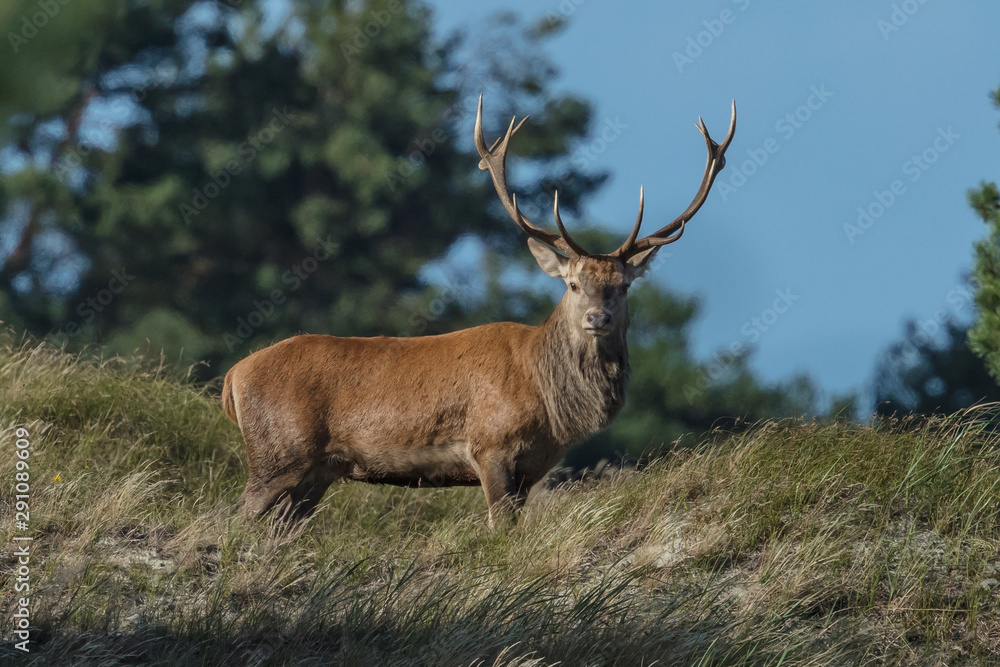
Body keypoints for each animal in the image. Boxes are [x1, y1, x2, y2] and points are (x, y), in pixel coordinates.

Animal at [221, 95, 736, 528]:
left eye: (623, 286)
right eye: (573, 284)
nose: (597, 319)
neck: (549, 401)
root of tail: (232, 377)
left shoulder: (531, 469)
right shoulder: (491, 445)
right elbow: (500, 529)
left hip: (314, 472)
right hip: (277, 454)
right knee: (235, 519)